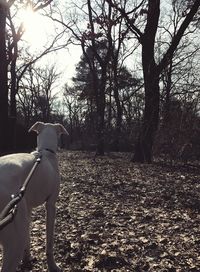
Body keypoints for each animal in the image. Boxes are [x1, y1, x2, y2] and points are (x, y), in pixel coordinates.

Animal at [0, 122, 68, 270]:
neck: (46, 152)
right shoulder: (51, 205)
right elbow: (49, 242)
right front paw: (52, 265)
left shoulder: (28, 208)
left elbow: (28, 236)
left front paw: (27, 258)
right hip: (14, 242)